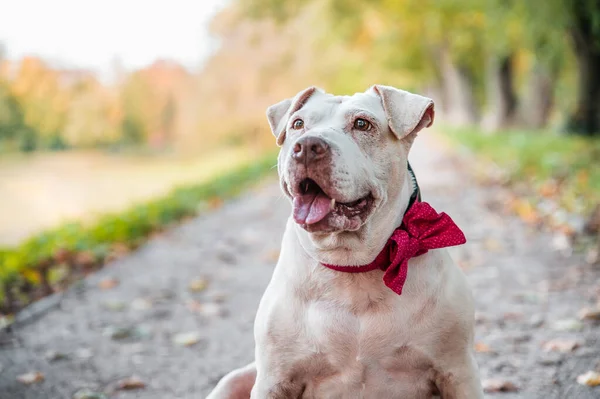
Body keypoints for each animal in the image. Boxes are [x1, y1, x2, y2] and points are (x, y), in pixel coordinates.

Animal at [206, 86, 482, 398]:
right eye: (298, 124)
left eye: (362, 124)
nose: (307, 146)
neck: (351, 265)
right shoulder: (274, 379)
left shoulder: (457, 371)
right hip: (235, 380)